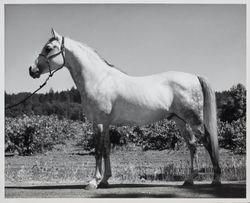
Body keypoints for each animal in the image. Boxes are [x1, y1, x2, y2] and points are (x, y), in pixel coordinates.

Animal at [28, 28, 221, 189]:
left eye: (48, 48)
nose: (32, 70)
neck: (98, 79)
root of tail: (194, 77)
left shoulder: (98, 123)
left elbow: (98, 150)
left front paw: (93, 182)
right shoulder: (105, 124)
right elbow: (106, 149)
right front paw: (105, 180)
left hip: (194, 121)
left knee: (207, 142)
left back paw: (216, 179)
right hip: (180, 121)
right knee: (192, 146)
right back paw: (189, 180)